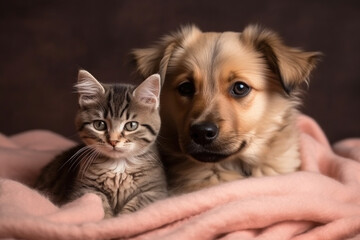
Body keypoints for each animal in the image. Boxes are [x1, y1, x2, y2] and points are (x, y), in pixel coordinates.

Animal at [35, 70, 167, 218]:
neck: (119, 167)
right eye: (99, 125)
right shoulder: (83, 189)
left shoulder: (156, 192)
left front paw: (120, 218)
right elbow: (99, 201)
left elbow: (137, 205)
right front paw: (108, 219)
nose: (113, 141)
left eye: (131, 125)